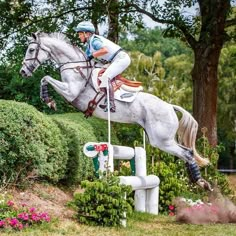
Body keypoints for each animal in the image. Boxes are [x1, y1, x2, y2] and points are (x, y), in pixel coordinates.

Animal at [19, 32, 212, 192]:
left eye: (31, 49)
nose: (23, 71)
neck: (75, 66)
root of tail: (170, 106)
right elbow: (45, 78)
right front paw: (48, 100)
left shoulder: (71, 92)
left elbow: (45, 78)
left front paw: (48, 100)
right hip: (159, 139)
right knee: (187, 152)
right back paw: (199, 181)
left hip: (161, 140)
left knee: (187, 153)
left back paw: (201, 182)